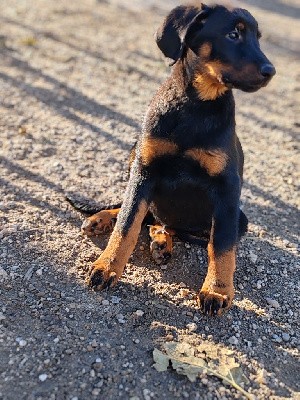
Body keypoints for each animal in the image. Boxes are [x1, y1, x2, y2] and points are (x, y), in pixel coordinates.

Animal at [70, 3, 274, 316]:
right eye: (233, 34)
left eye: (258, 38)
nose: (270, 71)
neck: (195, 105)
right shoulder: (144, 172)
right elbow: (127, 222)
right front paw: (107, 266)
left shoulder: (227, 188)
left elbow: (222, 245)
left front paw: (217, 290)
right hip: (133, 155)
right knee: (145, 215)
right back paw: (103, 219)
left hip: (239, 219)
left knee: (172, 226)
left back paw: (160, 240)